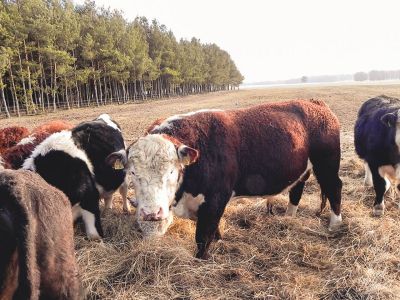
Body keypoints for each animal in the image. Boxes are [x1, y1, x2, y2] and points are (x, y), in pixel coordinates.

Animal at [116, 99, 344, 258]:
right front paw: (219, 241)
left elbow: (203, 236)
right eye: (132, 172)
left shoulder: (215, 199)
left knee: (334, 188)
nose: (151, 213)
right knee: (297, 189)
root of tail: (315, 103)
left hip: (327, 164)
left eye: (172, 171)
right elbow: (213, 229)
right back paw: (289, 217)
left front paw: (202, 259)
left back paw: (335, 225)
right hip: (303, 169)